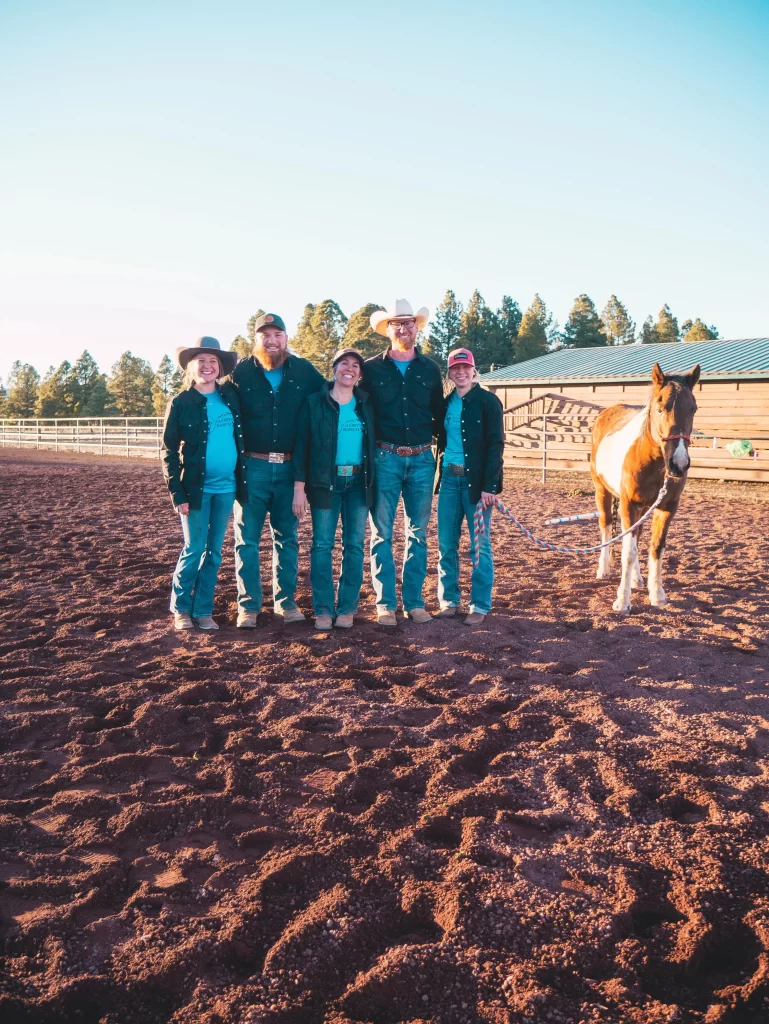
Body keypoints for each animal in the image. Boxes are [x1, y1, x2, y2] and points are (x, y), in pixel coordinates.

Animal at [593, 364, 700, 610]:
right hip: (602, 491)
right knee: (606, 526)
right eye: (660, 408)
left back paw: (636, 579)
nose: (679, 463)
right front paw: (622, 601)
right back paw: (603, 570)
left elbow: (656, 547)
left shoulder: (667, 507)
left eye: (693, 409)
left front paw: (657, 595)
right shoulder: (628, 505)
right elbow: (628, 551)